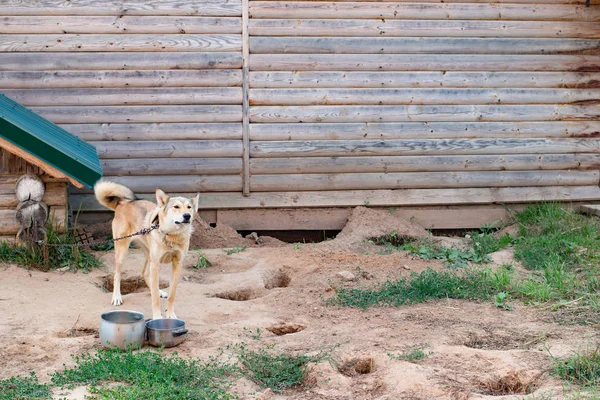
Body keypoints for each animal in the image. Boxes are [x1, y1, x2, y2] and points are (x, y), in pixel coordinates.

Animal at [92, 181, 198, 318]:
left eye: (189, 207)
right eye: (176, 207)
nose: (187, 216)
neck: (172, 236)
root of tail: (122, 203)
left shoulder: (177, 264)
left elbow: (172, 294)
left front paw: (170, 313)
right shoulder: (156, 264)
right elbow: (155, 299)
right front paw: (157, 316)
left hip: (149, 255)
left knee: (144, 273)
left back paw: (158, 291)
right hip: (123, 252)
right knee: (117, 274)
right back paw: (116, 297)